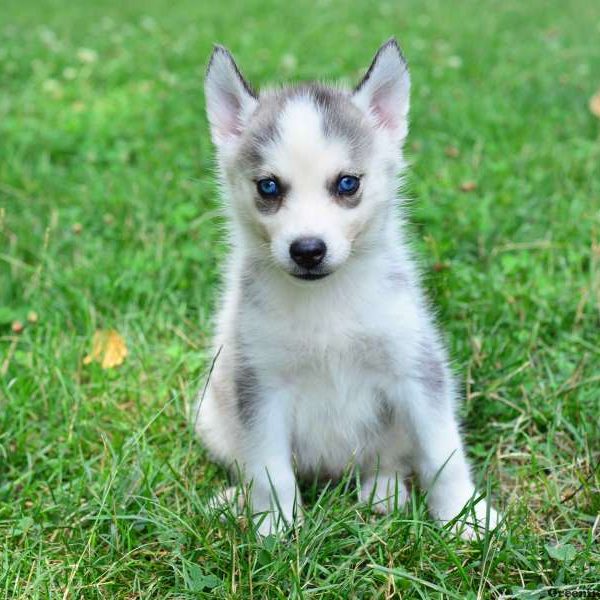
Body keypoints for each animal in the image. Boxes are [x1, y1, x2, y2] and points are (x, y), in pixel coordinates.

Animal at [195, 38, 500, 540]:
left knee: (386, 461)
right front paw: (277, 529)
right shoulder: (259, 383)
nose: (307, 250)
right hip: (212, 416)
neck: (327, 304)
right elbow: (270, 472)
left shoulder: (415, 369)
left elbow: (443, 455)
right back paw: (234, 502)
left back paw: (383, 493)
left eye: (347, 183)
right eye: (269, 187)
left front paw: (465, 516)